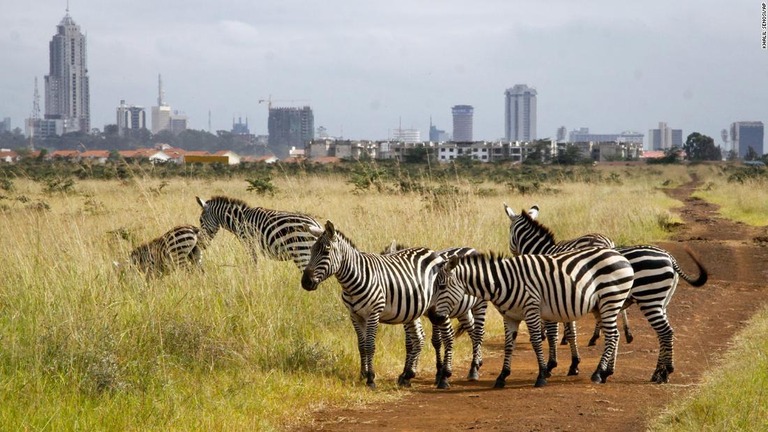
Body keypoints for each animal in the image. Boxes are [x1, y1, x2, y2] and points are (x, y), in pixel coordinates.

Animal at [304, 221, 450, 390]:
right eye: (312, 251)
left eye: (326, 252)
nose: (305, 282)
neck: (353, 280)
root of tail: (432, 252)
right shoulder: (354, 315)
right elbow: (361, 345)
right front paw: (362, 374)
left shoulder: (373, 314)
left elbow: (370, 345)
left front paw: (370, 379)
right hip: (416, 310)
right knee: (418, 338)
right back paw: (407, 375)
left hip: (441, 304)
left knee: (447, 336)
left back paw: (443, 377)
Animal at [382, 241, 486, 384]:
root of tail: (472, 248)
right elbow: (412, 342)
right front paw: (405, 373)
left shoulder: (440, 311)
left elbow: (439, 339)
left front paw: (441, 373)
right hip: (463, 311)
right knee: (472, 331)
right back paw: (477, 362)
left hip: (479, 304)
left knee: (479, 333)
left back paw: (474, 369)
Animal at [428, 246, 632, 388]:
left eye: (442, 287)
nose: (433, 316)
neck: (503, 282)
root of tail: (620, 256)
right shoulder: (510, 316)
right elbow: (508, 345)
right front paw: (502, 376)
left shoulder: (531, 309)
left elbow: (535, 342)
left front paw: (541, 375)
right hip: (601, 306)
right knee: (614, 336)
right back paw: (606, 373)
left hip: (610, 300)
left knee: (612, 336)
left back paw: (598, 373)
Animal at [504, 204, 708, 384]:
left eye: (509, 232)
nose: (512, 255)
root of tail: (669, 257)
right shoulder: (565, 301)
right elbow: (571, 333)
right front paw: (574, 364)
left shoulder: (553, 300)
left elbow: (556, 333)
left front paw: (551, 365)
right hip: (660, 300)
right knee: (663, 334)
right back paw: (659, 371)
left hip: (648, 298)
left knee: (665, 332)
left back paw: (663, 373)